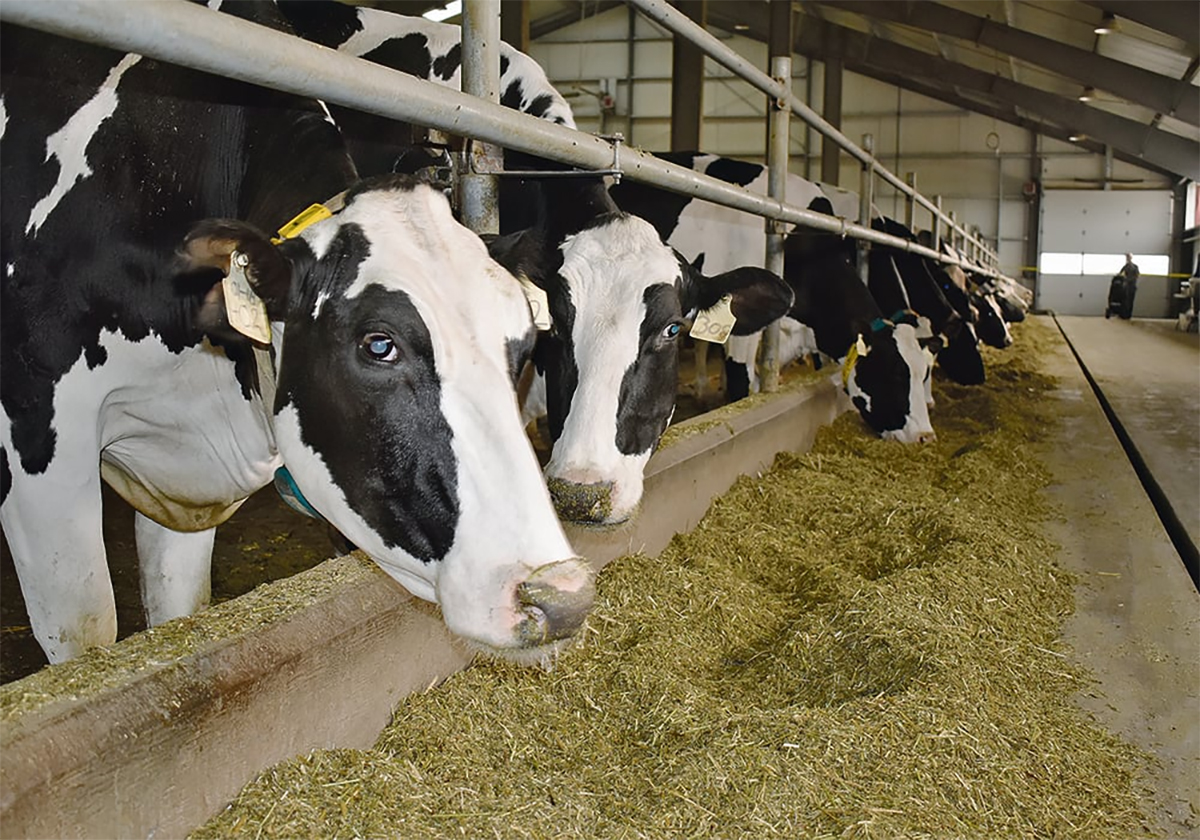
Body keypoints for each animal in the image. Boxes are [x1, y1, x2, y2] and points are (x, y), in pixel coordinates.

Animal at [0, 4, 593, 665]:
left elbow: (179, 608)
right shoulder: (38, 443)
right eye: (379, 344)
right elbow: (87, 629)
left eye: (521, 345)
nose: (561, 596)